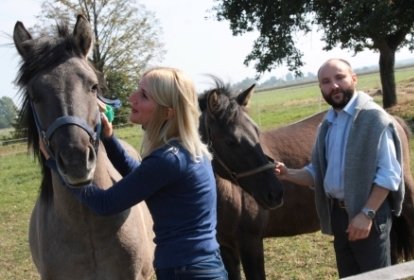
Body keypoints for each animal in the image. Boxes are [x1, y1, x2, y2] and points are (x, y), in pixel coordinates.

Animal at [200, 79, 414, 280]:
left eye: (256, 132)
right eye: (230, 141)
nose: (275, 193)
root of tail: (392, 119)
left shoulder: (251, 244)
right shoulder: (227, 249)